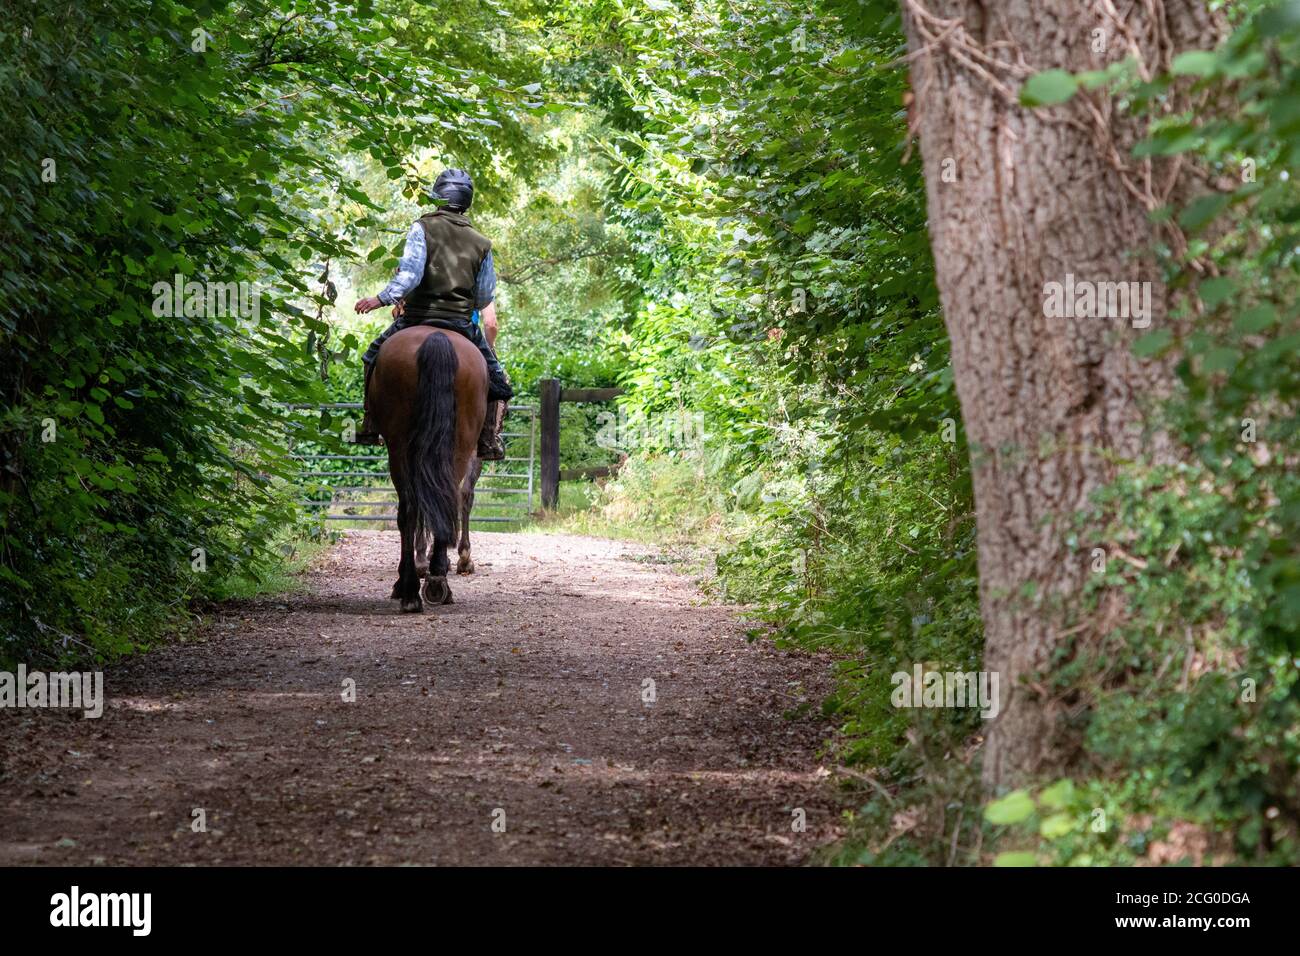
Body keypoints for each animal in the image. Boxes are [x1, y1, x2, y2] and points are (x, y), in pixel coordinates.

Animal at [369, 327, 486, 613]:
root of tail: (436, 336)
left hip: (401, 448)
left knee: (412, 508)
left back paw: (411, 588)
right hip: (458, 445)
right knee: (446, 498)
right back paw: (435, 579)